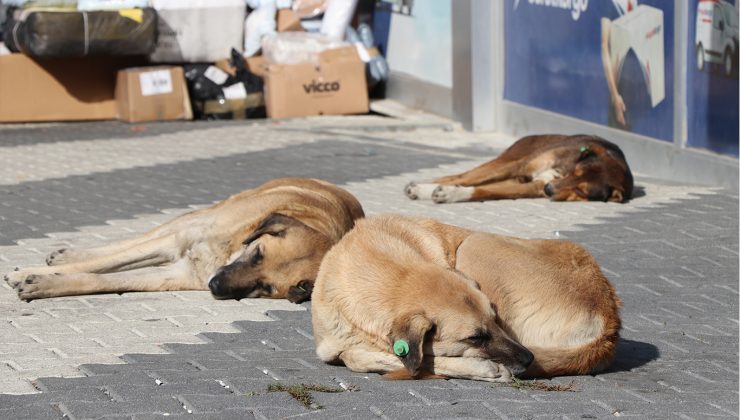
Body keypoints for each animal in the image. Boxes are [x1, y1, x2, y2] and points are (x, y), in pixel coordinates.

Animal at [5, 176, 364, 302]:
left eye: (265, 287)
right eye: (257, 254)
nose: (215, 286)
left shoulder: (176, 274)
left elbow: (99, 279)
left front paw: (46, 283)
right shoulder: (181, 240)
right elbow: (106, 263)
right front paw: (29, 274)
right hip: (191, 221)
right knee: (130, 243)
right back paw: (66, 256)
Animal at [408, 132, 632, 203]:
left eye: (582, 190)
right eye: (575, 172)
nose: (549, 189)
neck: (561, 172)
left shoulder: (532, 186)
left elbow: (484, 191)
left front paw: (451, 194)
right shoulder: (521, 166)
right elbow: (467, 180)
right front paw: (430, 189)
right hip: (507, 161)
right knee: (462, 175)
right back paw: (423, 186)